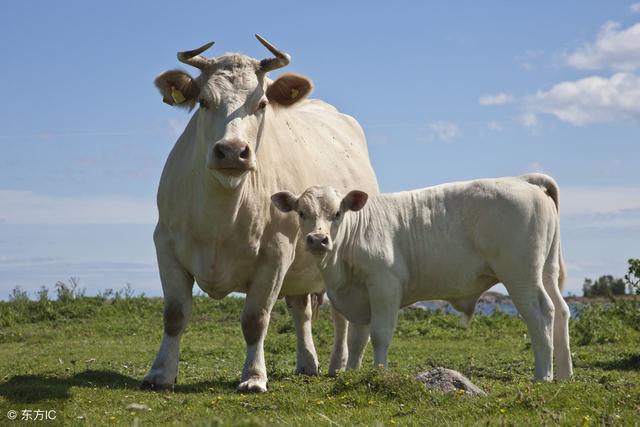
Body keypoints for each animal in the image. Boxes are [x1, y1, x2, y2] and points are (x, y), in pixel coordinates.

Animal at [142, 36, 378, 394]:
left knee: (341, 315)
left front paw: (253, 376)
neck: (220, 217)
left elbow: (256, 319)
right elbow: (175, 313)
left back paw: (338, 365)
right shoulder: (165, 244)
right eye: (204, 102)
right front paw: (160, 374)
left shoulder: (276, 252)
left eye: (262, 103)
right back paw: (307, 363)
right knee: (301, 311)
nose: (231, 151)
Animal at [272, 174, 572, 382]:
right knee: (561, 310)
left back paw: (543, 375)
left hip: (521, 275)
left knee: (542, 313)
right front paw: (353, 373)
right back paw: (565, 374)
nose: (317, 239)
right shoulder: (357, 299)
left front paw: (378, 373)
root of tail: (524, 180)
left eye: (337, 213)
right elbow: (357, 341)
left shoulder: (384, 285)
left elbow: (380, 335)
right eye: (302, 213)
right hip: (545, 271)